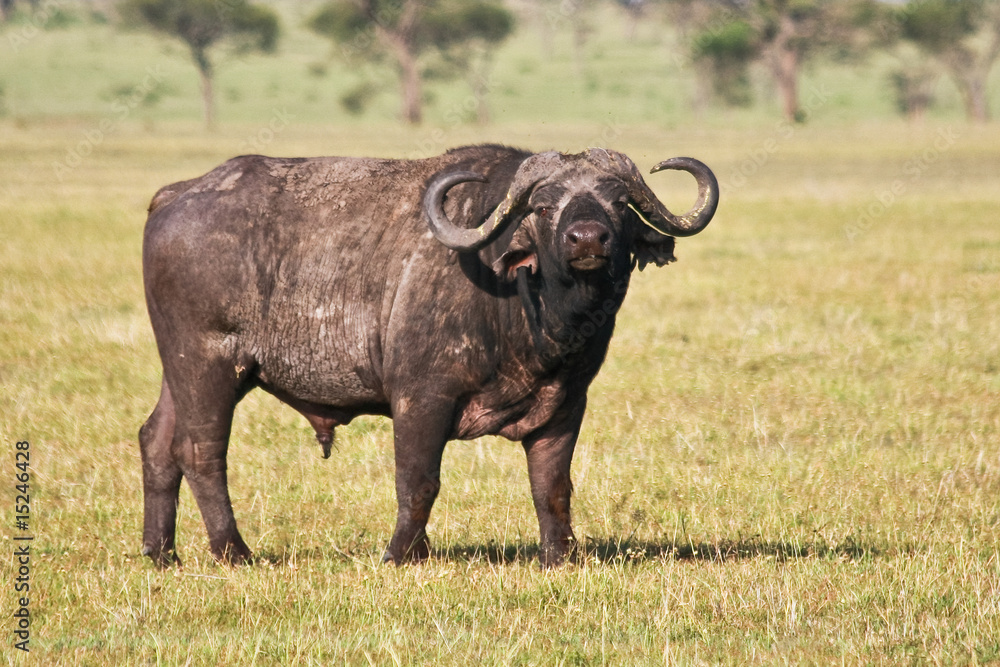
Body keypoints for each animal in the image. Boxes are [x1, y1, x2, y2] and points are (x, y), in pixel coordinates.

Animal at [139, 144, 719, 567]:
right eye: (543, 206)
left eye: (618, 203)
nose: (587, 239)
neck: (524, 309)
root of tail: (174, 195)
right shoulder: (421, 398)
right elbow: (418, 480)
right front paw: (403, 555)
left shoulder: (565, 404)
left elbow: (552, 485)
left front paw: (561, 556)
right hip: (209, 363)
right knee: (200, 452)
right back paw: (234, 552)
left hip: (181, 369)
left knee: (157, 441)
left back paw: (161, 552)